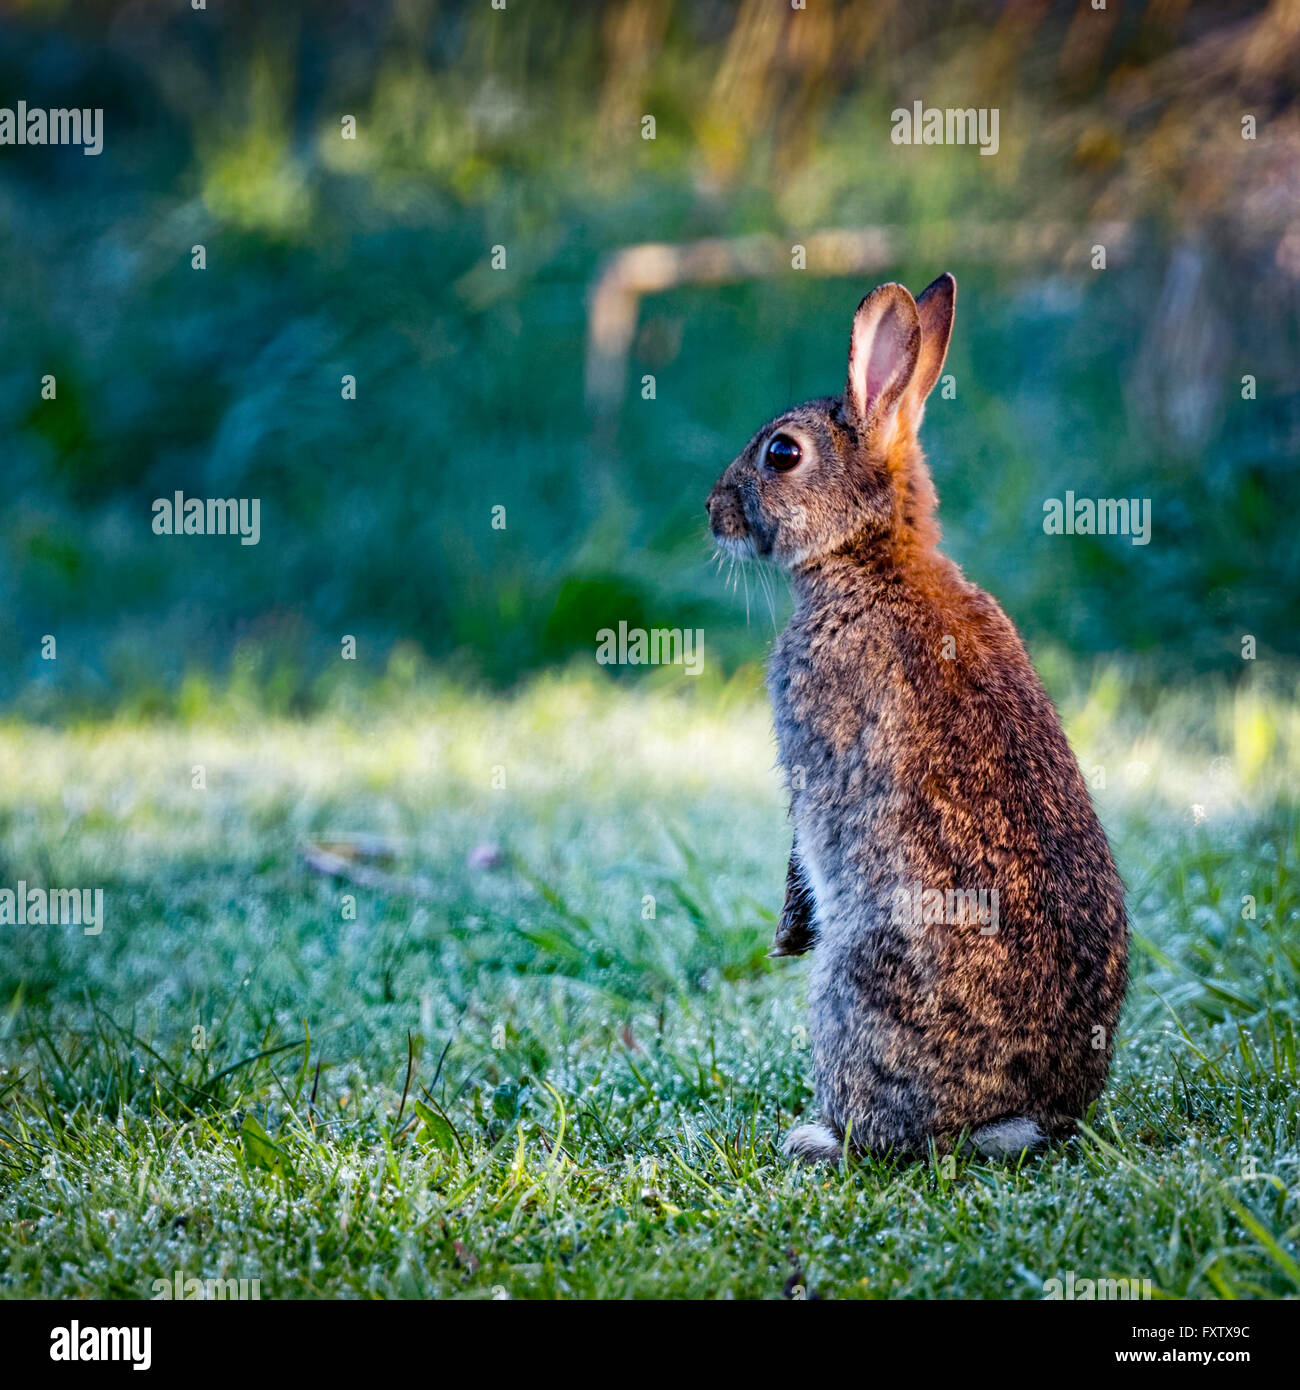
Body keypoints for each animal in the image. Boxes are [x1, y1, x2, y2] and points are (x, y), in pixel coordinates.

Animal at [706, 271, 1123, 1162]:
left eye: (781, 453)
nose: (714, 511)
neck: (871, 557)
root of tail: (1023, 1115)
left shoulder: (815, 752)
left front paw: (788, 928)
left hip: (852, 982)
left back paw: (816, 1139)